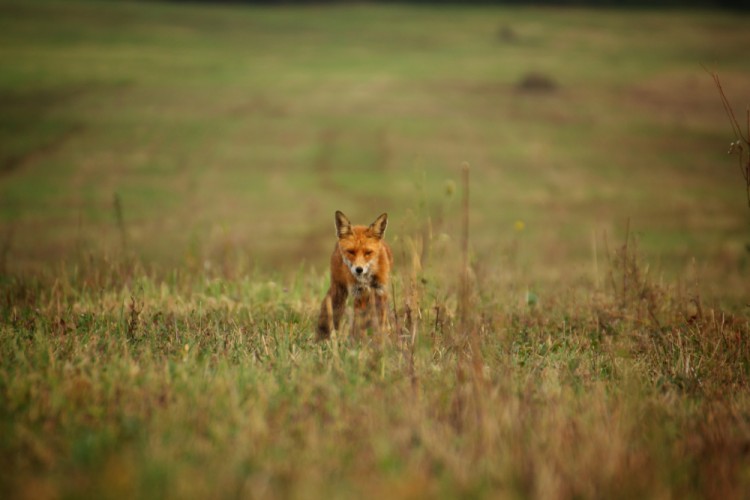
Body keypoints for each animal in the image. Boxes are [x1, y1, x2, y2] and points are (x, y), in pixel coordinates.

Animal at [318, 211, 396, 340]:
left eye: (368, 252)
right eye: (351, 252)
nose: (359, 269)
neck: (367, 279)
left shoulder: (381, 292)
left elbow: (381, 323)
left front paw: (382, 340)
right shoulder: (359, 295)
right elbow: (360, 327)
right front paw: (360, 342)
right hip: (340, 291)